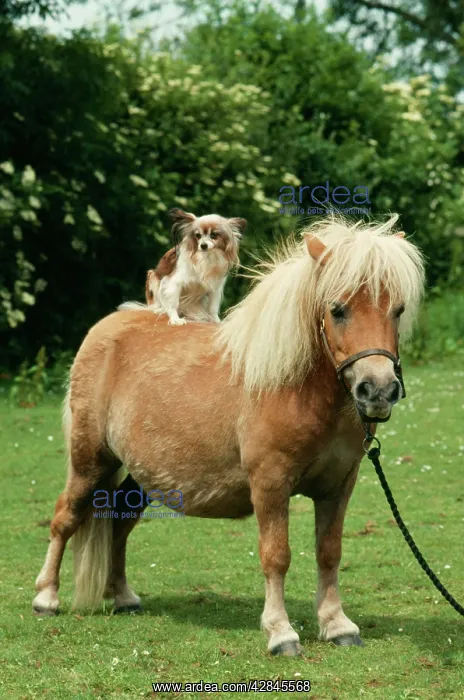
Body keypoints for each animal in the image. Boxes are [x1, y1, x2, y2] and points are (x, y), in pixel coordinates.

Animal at [32, 215, 425, 656]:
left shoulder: (338, 486)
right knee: (65, 517)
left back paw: (123, 596)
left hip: (141, 474)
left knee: (119, 521)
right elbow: (276, 556)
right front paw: (281, 633)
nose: (378, 390)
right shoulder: (270, 484)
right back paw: (46, 597)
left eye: (398, 310)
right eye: (337, 310)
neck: (294, 387)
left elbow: (329, 552)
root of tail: (108, 327)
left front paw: (337, 625)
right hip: (90, 461)